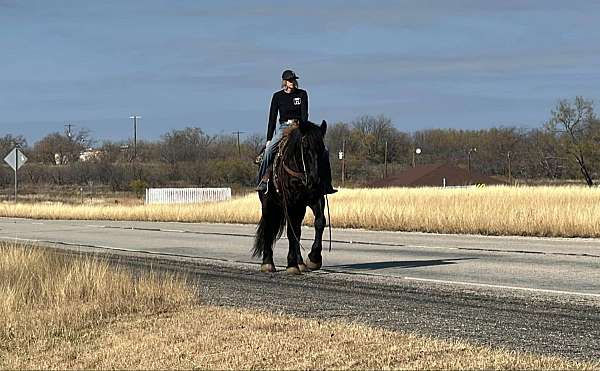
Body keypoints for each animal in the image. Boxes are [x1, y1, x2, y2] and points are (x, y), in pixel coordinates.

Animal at [253, 120, 328, 274]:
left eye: (322, 148)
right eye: (305, 146)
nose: (315, 180)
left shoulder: (314, 198)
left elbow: (319, 222)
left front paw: (314, 259)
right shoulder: (290, 202)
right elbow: (290, 231)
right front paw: (292, 264)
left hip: (299, 208)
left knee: (297, 230)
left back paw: (300, 263)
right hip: (268, 204)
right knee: (268, 227)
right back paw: (267, 263)